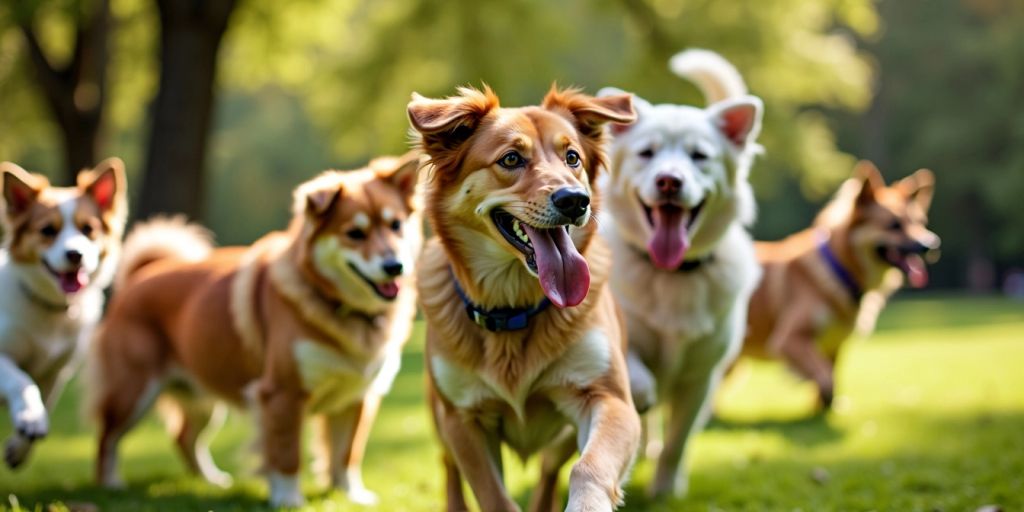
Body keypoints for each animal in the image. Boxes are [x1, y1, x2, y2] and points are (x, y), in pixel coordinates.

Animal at [0, 157, 126, 468]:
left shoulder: (56, 371)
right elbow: (21, 381)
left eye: (88, 228)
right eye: (48, 230)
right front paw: (31, 419)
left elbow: (43, 399)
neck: (51, 313)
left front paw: (19, 448)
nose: (75, 255)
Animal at [90, 153, 421, 505]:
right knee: (107, 438)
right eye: (355, 233)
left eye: (396, 225)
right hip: (131, 393)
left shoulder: (357, 398)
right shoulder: (282, 394)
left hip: (204, 396)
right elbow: (287, 453)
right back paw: (109, 484)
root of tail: (140, 275)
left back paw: (210, 481)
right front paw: (288, 500)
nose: (395, 266)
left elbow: (347, 453)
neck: (343, 309)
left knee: (184, 437)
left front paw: (350, 494)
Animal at [407, 86, 638, 509]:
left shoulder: (609, 399)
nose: (575, 200)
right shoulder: (463, 419)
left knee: (549, 470)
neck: (513, 308)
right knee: (448, 468)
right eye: (511, 159)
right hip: (438, 416)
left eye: (572, 157)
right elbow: (492, 495)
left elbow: (589, 466)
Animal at [598, 49, 765, 497]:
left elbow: (678, 440)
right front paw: (641, 393)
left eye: (699, 156)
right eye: (647, 153)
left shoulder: (700, 379)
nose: (669, 181)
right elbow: (635, 372)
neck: (670, 274)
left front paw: (665, 489)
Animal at [741, 161, 937, 409]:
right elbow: (824, 376)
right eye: (894, 225)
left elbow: (831, 378)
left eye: (920, 223)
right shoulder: (788, 339)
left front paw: (824, 407)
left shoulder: (834, 345)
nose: (931, 244)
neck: (840, 271)